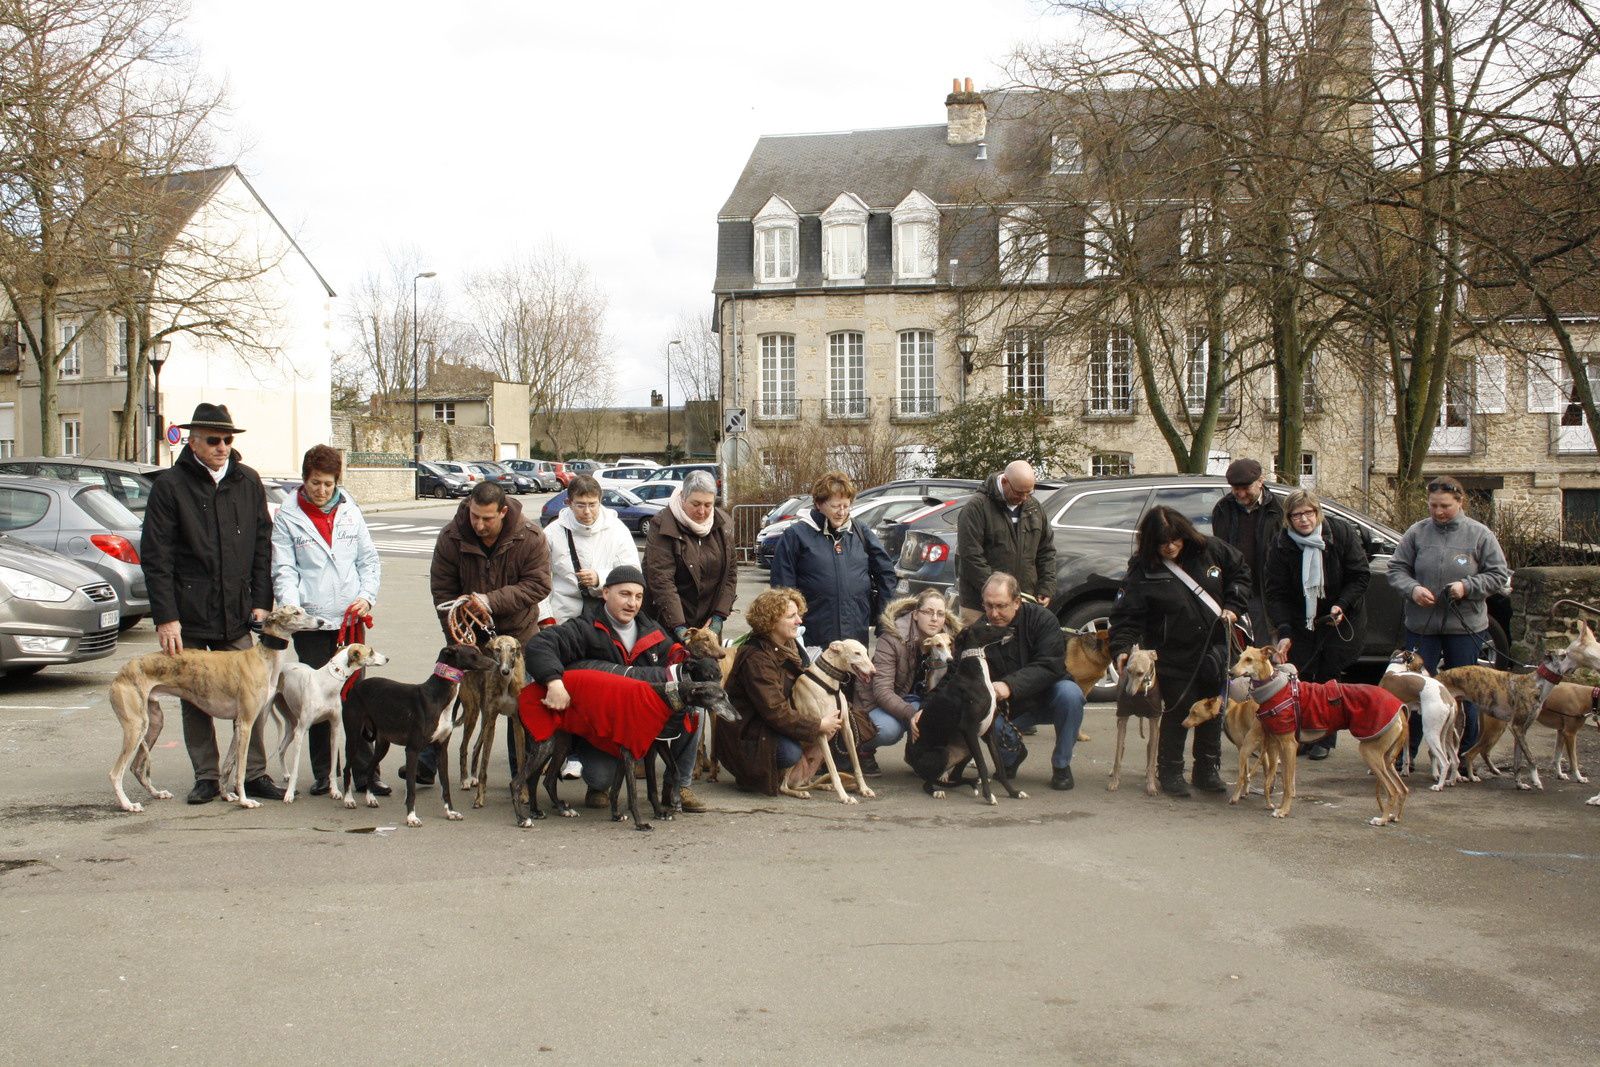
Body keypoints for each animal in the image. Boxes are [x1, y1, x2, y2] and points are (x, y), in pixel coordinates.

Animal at [1228, 643, 1408, 825]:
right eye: (1240, 657)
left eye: (1249, 659)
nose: (1230, 673)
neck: (1274, 689)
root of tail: (1401, 709)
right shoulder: (1280, 746)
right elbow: (1285, 781)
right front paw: (1280, 806)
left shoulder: (1289, 745)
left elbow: (1287, 784)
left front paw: (1283, 811)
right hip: (1386, 758)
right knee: (1402, 788)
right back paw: (1394, 816)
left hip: (1371, 752)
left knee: (1392, 790)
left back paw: (1382, 819)